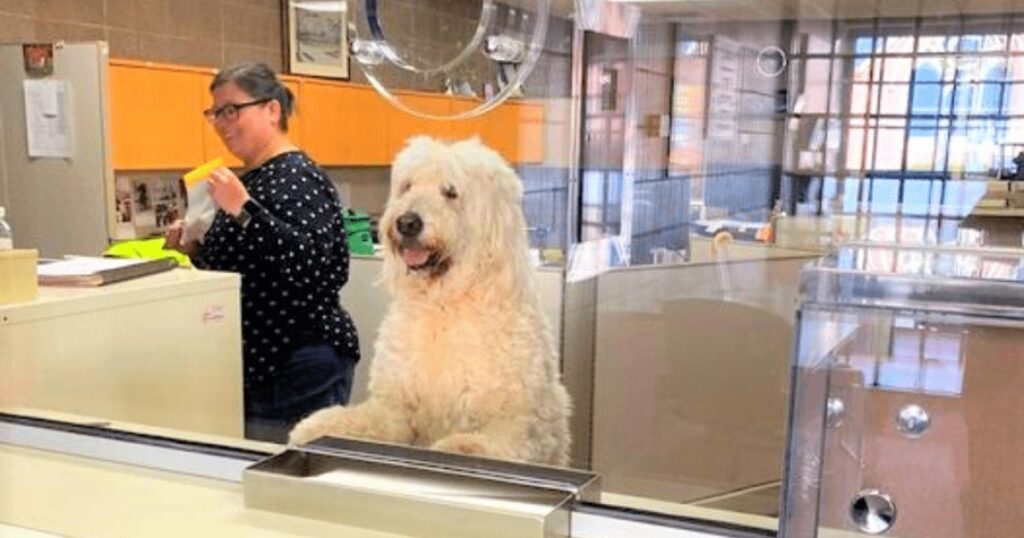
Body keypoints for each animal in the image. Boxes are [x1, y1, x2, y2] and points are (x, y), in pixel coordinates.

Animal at [288, 135, 573, 465]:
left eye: (451, 191)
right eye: (408, 186)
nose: (407, 222)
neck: (445, 303)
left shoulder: (520, 422)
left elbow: (494, 443)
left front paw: (458, 448)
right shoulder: (396, 407)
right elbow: (365, 421)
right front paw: (314, 427)